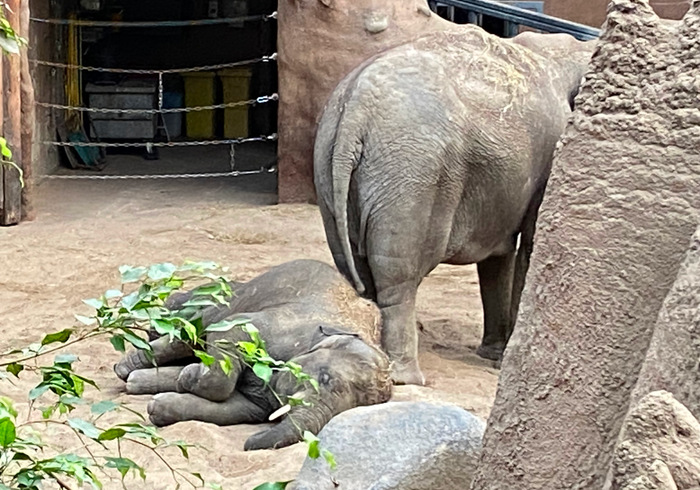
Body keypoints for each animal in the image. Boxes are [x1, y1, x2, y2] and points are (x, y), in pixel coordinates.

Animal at [112, 260, 392, 452]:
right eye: (324, 378)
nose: (248, 443)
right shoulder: (274, 326)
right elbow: (230, 333)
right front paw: (189, 376)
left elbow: (238, 408)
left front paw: (160, 405)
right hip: (224, 298)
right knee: (190, 328)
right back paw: (126, 369)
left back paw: (140, 381)